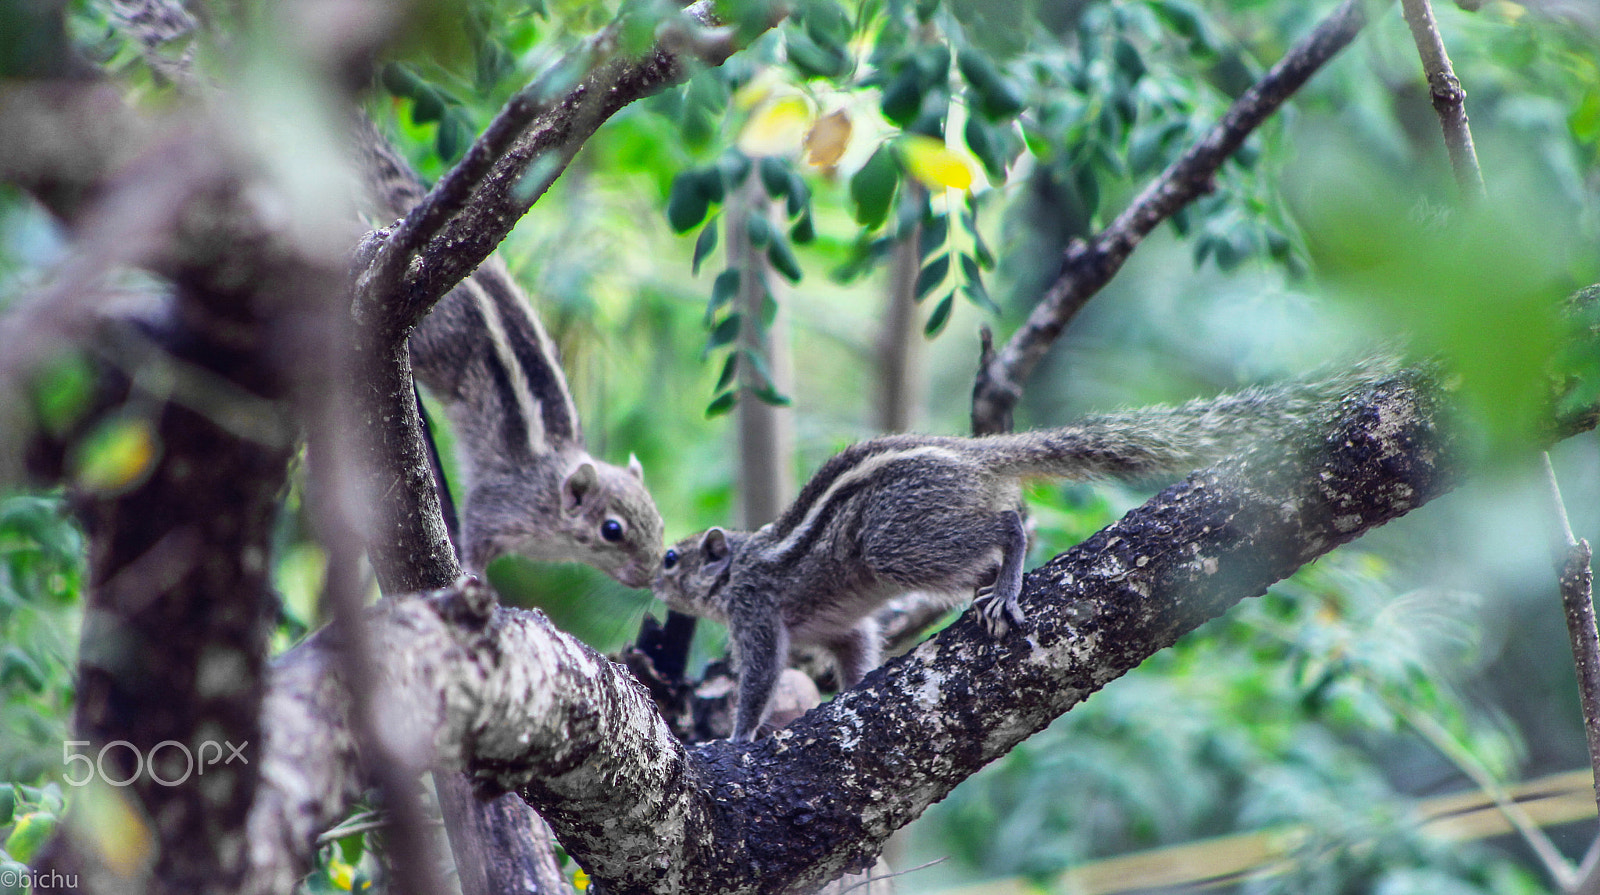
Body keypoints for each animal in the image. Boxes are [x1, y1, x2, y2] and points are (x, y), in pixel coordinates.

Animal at [353, 116, 664, 584]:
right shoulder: (498, 504)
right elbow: (475, 538)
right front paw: (475, 578)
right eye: (612, 531)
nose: (651, 573)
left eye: (659, 522)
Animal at [652, 368, 1386, 739]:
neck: (740, 559)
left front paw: (736, 738)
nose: (650, 581)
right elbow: (857, 651)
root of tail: (980, 456)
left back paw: (1005, 583)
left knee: (1009, 524)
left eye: (670, 558)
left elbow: (759, 676)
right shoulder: (840, 628)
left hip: (898, 543)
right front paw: (857, 687)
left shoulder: (754, 610)